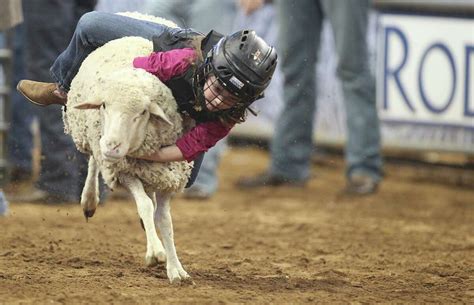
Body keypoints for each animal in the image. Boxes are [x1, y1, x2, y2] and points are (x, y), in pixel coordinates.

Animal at [63, 11, 193, 282]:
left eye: (142, 112)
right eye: (104, 105)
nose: (112, 146)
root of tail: (139, 14)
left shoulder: (170, 174)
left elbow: (164, 220)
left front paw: (175, 269)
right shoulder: (124, 171)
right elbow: (144, 205)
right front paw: (157, 254)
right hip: (93, 136)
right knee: (94, 160)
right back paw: (89, 201)